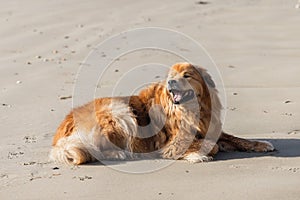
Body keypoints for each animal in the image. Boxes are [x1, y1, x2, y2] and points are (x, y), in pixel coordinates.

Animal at [50, 63, 276, 165]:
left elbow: (236, 139)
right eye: (171, 76)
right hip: (121, 113)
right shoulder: (175, 140)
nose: (170, 82)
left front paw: (260, 144)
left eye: (187, 75)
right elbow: (210, 146)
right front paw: (197, 155)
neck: (192, 110)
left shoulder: (211, 128)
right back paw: (118, 153)